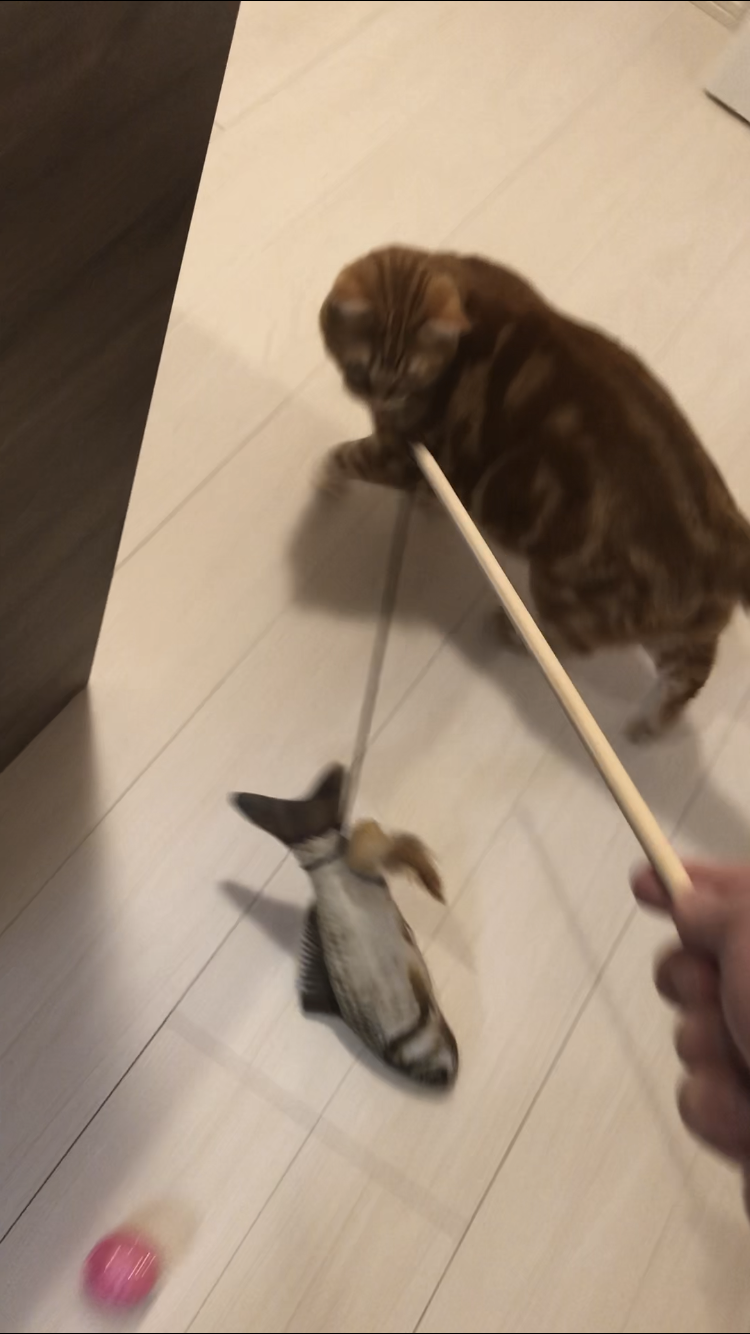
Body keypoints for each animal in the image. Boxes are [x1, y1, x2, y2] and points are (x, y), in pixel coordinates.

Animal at [318, 244, 750, 740]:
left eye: (407, 379)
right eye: (360, 372)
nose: (382, 399)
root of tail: (728, 548)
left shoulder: (400, 454)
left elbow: (341, 457)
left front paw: (326, 486)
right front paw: (427, 506)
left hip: (567, 598)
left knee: (571, 645)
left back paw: (510, 631)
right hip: (673, 632)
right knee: (691, 674)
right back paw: (649, 726)